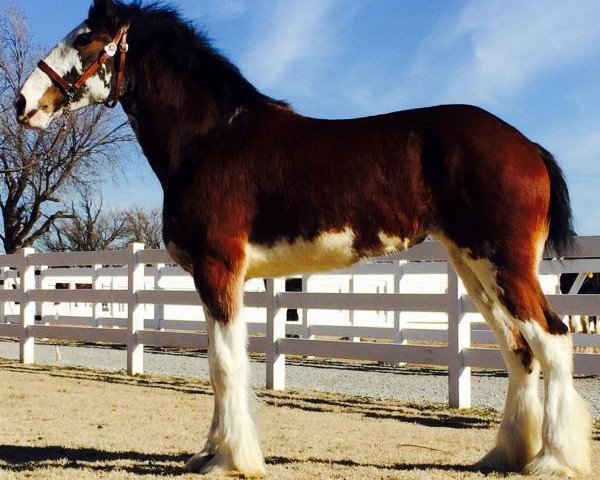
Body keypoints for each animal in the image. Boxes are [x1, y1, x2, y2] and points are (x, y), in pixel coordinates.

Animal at [14, 0, 592, 476]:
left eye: (86, 38)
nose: (22, 103)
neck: (211, 138)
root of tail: (526, 145)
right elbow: (217, 364)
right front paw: (209, 453)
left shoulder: (219, 270)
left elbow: (225, 366)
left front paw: (229, 460)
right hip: (474, 270)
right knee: (519, 350)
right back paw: (506, 455)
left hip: (504, 266)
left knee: (554, 341)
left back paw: (554, 461)